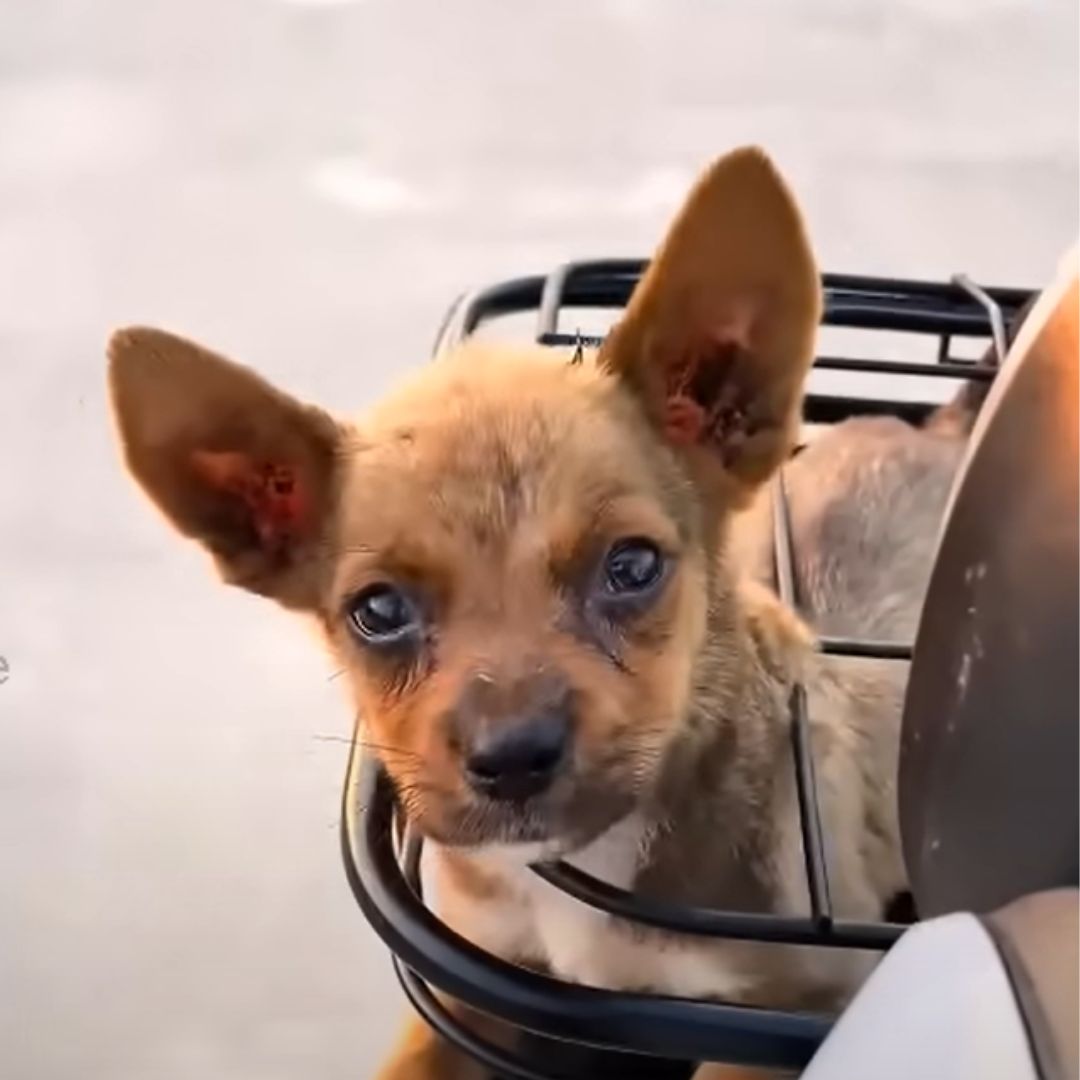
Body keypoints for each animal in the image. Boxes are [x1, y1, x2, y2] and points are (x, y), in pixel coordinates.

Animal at [109, 147, 967, 1075]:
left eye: (632, 565)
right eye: (378, 609)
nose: (513, 758)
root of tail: (942, 428)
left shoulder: (785, 1021)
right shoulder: (467, 990)